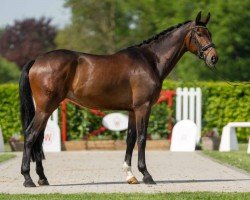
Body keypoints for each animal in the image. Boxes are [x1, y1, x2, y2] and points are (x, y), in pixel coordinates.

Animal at [20, 11, 218, 187]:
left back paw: (42, 178)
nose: (213, 58)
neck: (150, 61)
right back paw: (28, 179)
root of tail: (37, 60)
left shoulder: (132, 110)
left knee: (38, 138)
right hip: (45, 108)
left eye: (209, 33)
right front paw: (146, 175)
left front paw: (130, 175)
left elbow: (130, 139)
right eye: (199, 33)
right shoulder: (143, 107)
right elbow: (142, 138)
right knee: (30, 135)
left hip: (46, 109)